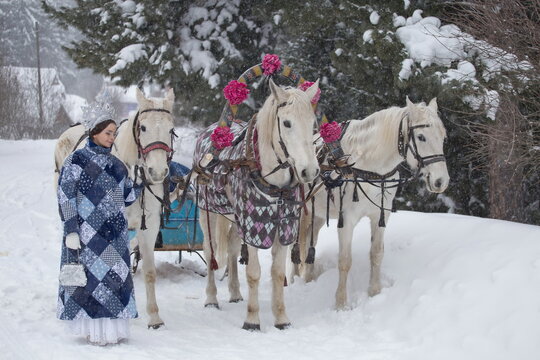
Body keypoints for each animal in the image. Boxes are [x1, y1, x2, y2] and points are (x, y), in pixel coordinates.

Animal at [54, 88, 175, 330]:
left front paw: (154, 317)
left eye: (171, 129)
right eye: (143, 127)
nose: (157, 171)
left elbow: (149, 272)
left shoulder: (150, 226)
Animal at [194, 79, 320, 330]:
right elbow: (253, 272)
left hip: (235, 217)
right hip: (208, 212)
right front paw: (252, 320)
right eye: (287, 123)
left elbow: (278, 272)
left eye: (313, 124)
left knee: (232, 247)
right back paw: (211, 298)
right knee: (210, 250)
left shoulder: (284, 227)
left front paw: (281, 319)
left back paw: (234, 293)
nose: (309, 171)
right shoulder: (254, 226)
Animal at [294, 96, 450, 310]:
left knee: (312, 242)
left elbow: (376, 254)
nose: (441, 181)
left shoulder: (380, 215)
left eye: (443, 136)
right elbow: (345, 261)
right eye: (421, 137)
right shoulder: (346, 220)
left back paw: (308, 276)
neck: (366, 164)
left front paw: (375, 292)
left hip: (316, 215)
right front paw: (341, 303)